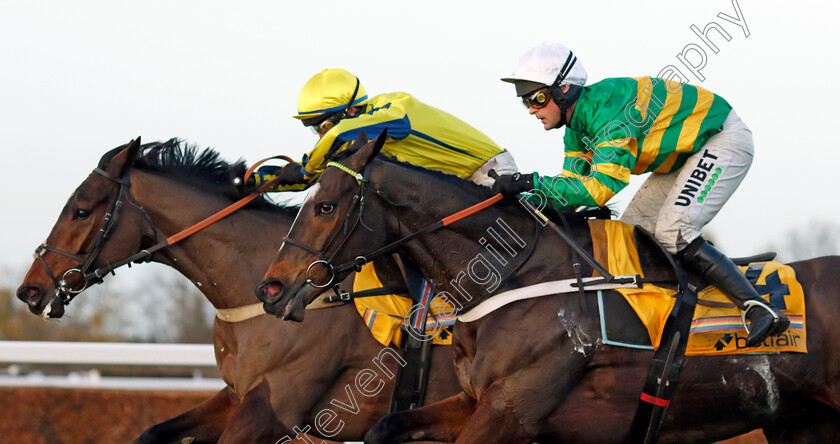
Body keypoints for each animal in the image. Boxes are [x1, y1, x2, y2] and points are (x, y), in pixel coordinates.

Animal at [256, 133, 840, 444]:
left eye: (325, 206)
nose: (271, 288)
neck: (516, 278)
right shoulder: (473, 401)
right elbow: (384, 428)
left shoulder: (511, 410)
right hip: (801, 422)